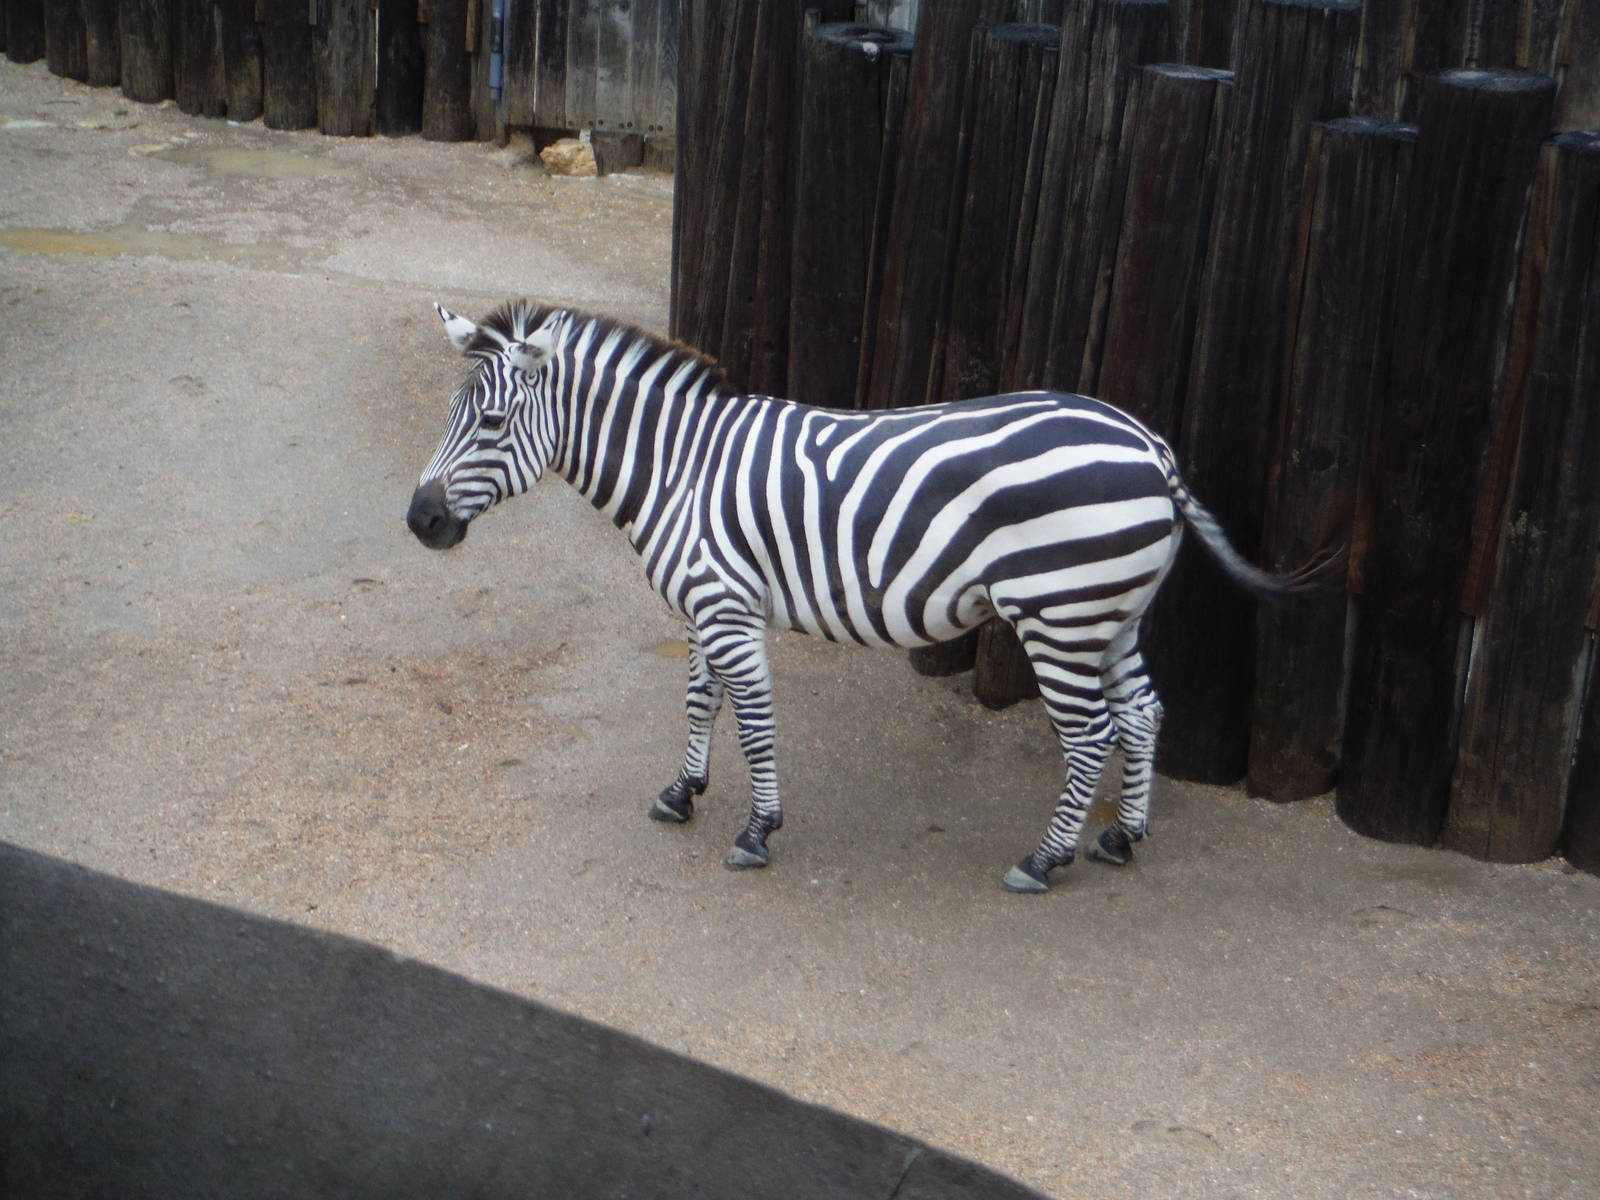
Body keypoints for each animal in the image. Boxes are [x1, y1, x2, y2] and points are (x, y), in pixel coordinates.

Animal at [406, 300, 1323, 892]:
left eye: (489, 424)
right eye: (450, 413)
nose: (419, 521)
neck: (679, 469)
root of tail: (1152, 448)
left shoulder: (728, 610)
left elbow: (754, 719)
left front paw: (757, 830)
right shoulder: (707, 599)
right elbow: (700, 699)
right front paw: (682, 791)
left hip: (1059, 617)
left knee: (1092, 732)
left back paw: (1044, 860)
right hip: (1109, 615)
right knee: (1142, 712)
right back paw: (1124, 837)